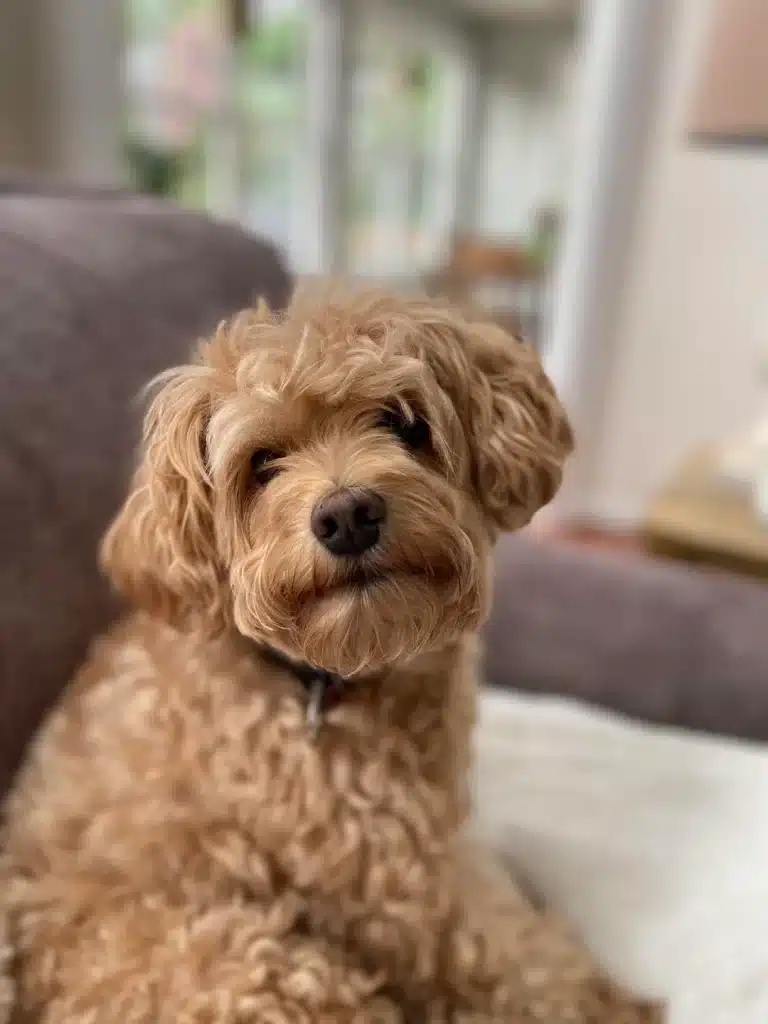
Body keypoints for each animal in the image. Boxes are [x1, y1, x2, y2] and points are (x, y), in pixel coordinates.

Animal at [0, 290, 663, 1024]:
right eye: (262, 463)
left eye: (401, 422)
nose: (347, 516)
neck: (326, 683)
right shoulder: (400, 892)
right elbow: (519, 969)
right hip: (264, 969)